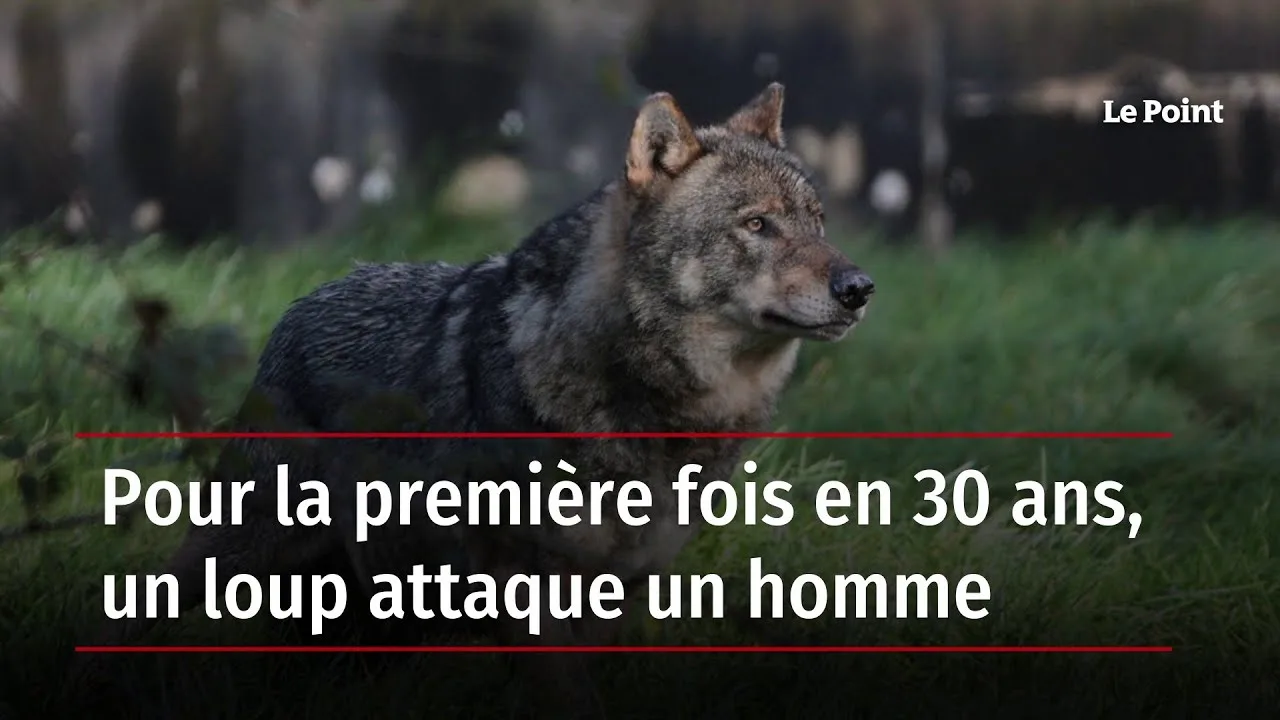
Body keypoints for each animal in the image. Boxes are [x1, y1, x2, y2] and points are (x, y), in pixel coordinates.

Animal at [79, 82, 874, 718]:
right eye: (756, 225)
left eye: (818, 222)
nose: (859, 288)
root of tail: (302, 303)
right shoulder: (531, 596)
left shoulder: (615, 595)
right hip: (245, 558)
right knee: (136, 615)